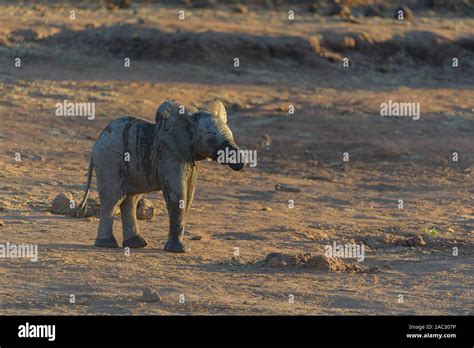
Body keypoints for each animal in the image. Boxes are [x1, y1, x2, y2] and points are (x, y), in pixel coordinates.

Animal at [76, 99, 246, 251]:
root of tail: (97, 140)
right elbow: (178, 196)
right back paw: (107, 244)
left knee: (130, 199)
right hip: (108, 160)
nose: (241, 164)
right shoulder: (170, 156)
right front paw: (180, 250)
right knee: (113, 199)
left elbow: (189, 196)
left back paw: (137, 244)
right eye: (210, 140)